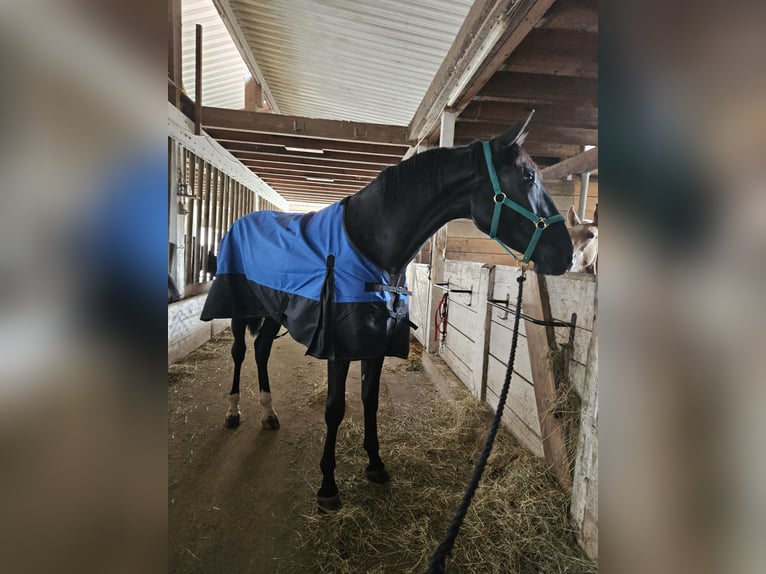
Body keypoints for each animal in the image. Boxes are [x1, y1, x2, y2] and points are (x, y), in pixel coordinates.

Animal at [201, 115, 572, 510]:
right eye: (528, 177)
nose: (567, 254)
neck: (372, 247)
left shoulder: (374, 345)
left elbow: (370, 400)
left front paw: (375, 465)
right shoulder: (339, 349)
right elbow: (335, 408)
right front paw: (328, 486)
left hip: (273, 311)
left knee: (261, 350)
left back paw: (269, 413)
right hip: (241, 309)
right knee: (240, 352)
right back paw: (233, 412)